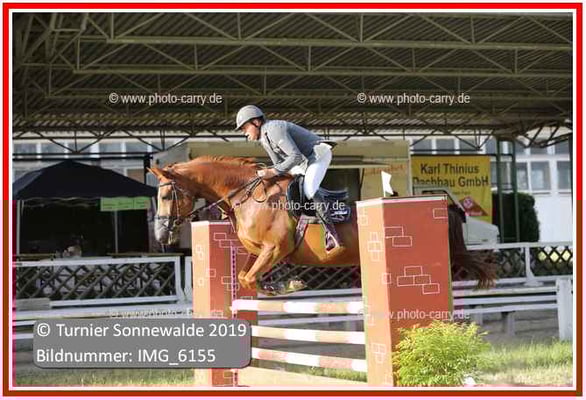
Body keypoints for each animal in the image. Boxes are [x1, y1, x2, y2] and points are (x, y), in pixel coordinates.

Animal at [149, 155, 495, 295]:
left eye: (165, 195)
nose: (161, 235)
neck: (247, 196)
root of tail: (442, 205)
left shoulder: (276, 249)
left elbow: (250, 278)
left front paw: (285, 285)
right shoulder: (257, 252)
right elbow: (245, 276)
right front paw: (276, 286)